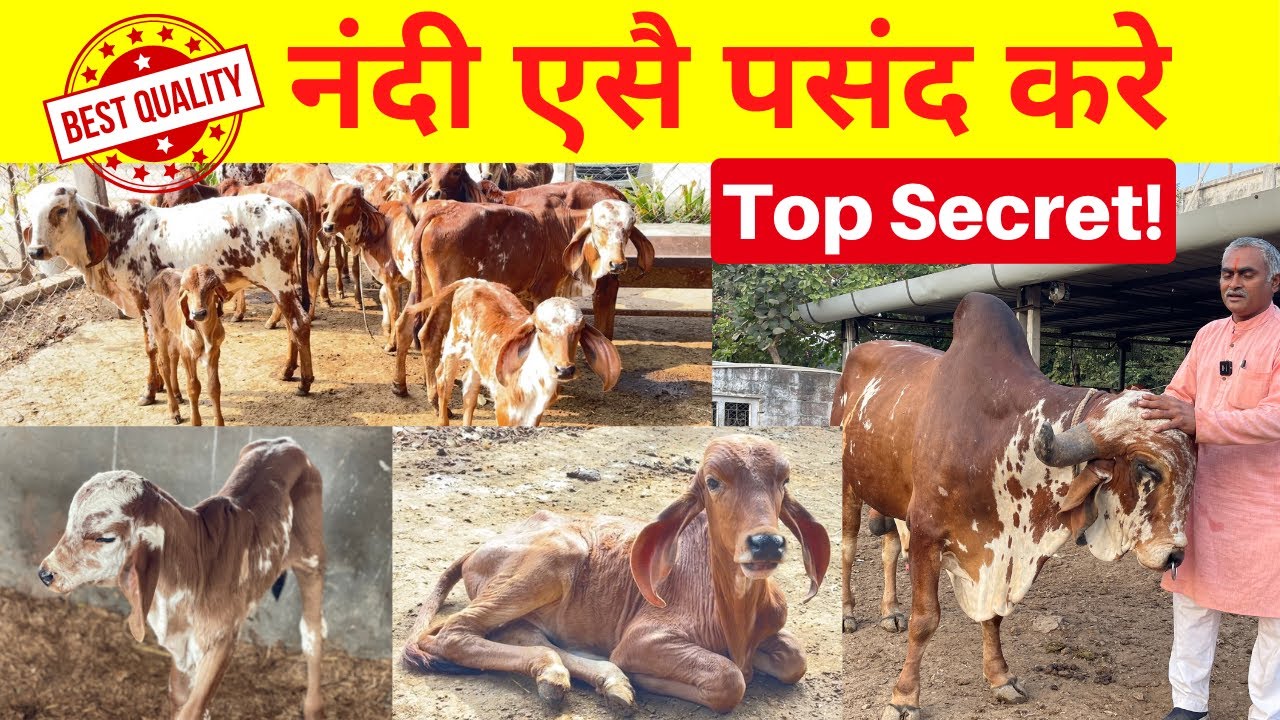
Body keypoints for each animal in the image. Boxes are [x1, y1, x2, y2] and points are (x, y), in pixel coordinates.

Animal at [836, 292, 1196, 720]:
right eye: (1145, 466)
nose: (1175, 555)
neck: (997, 439)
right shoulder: (927, 534)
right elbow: (924, 619)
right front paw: (904, 697)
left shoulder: (998, 553)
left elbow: (993, 617)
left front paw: (1000, 677)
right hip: (850, 482)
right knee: (848, 548)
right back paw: (848, 613)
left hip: (889, 497)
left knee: (890, 546)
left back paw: (889, 610)